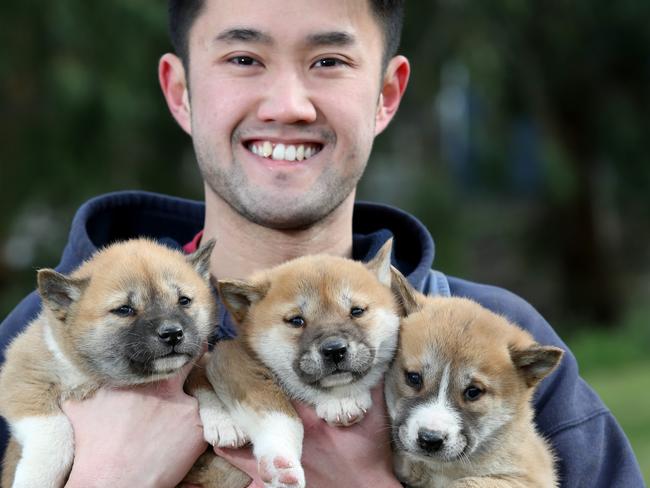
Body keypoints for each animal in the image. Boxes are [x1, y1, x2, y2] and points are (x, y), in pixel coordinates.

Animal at [0, 239, 218, 488]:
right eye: (124, 309)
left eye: (184, 301)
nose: (172, 333)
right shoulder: (21, 375)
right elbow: (55, 432)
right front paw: (36, 478)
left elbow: (202, 375)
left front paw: (221, 417)